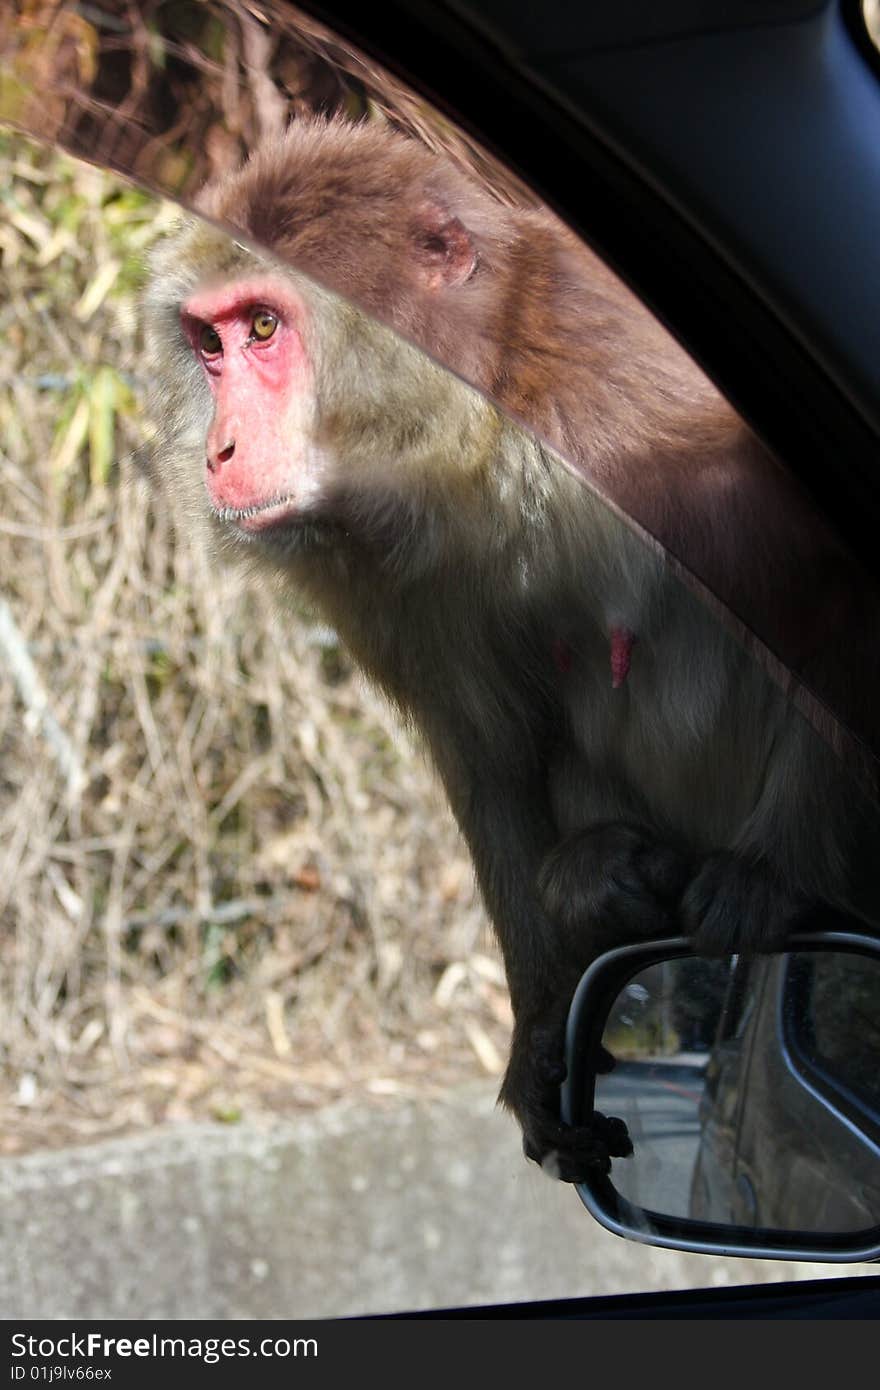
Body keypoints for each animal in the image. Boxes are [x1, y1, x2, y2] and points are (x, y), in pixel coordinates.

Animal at [143, 122, 878, 1184]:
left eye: (265, 328)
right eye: (209, 343)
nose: (219, 451)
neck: (477, 431)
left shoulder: (642, 413)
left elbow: (840, 602)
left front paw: (773, 880)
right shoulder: (388, 571)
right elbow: (486, 752)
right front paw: (541, 1034)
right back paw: (597, 883)